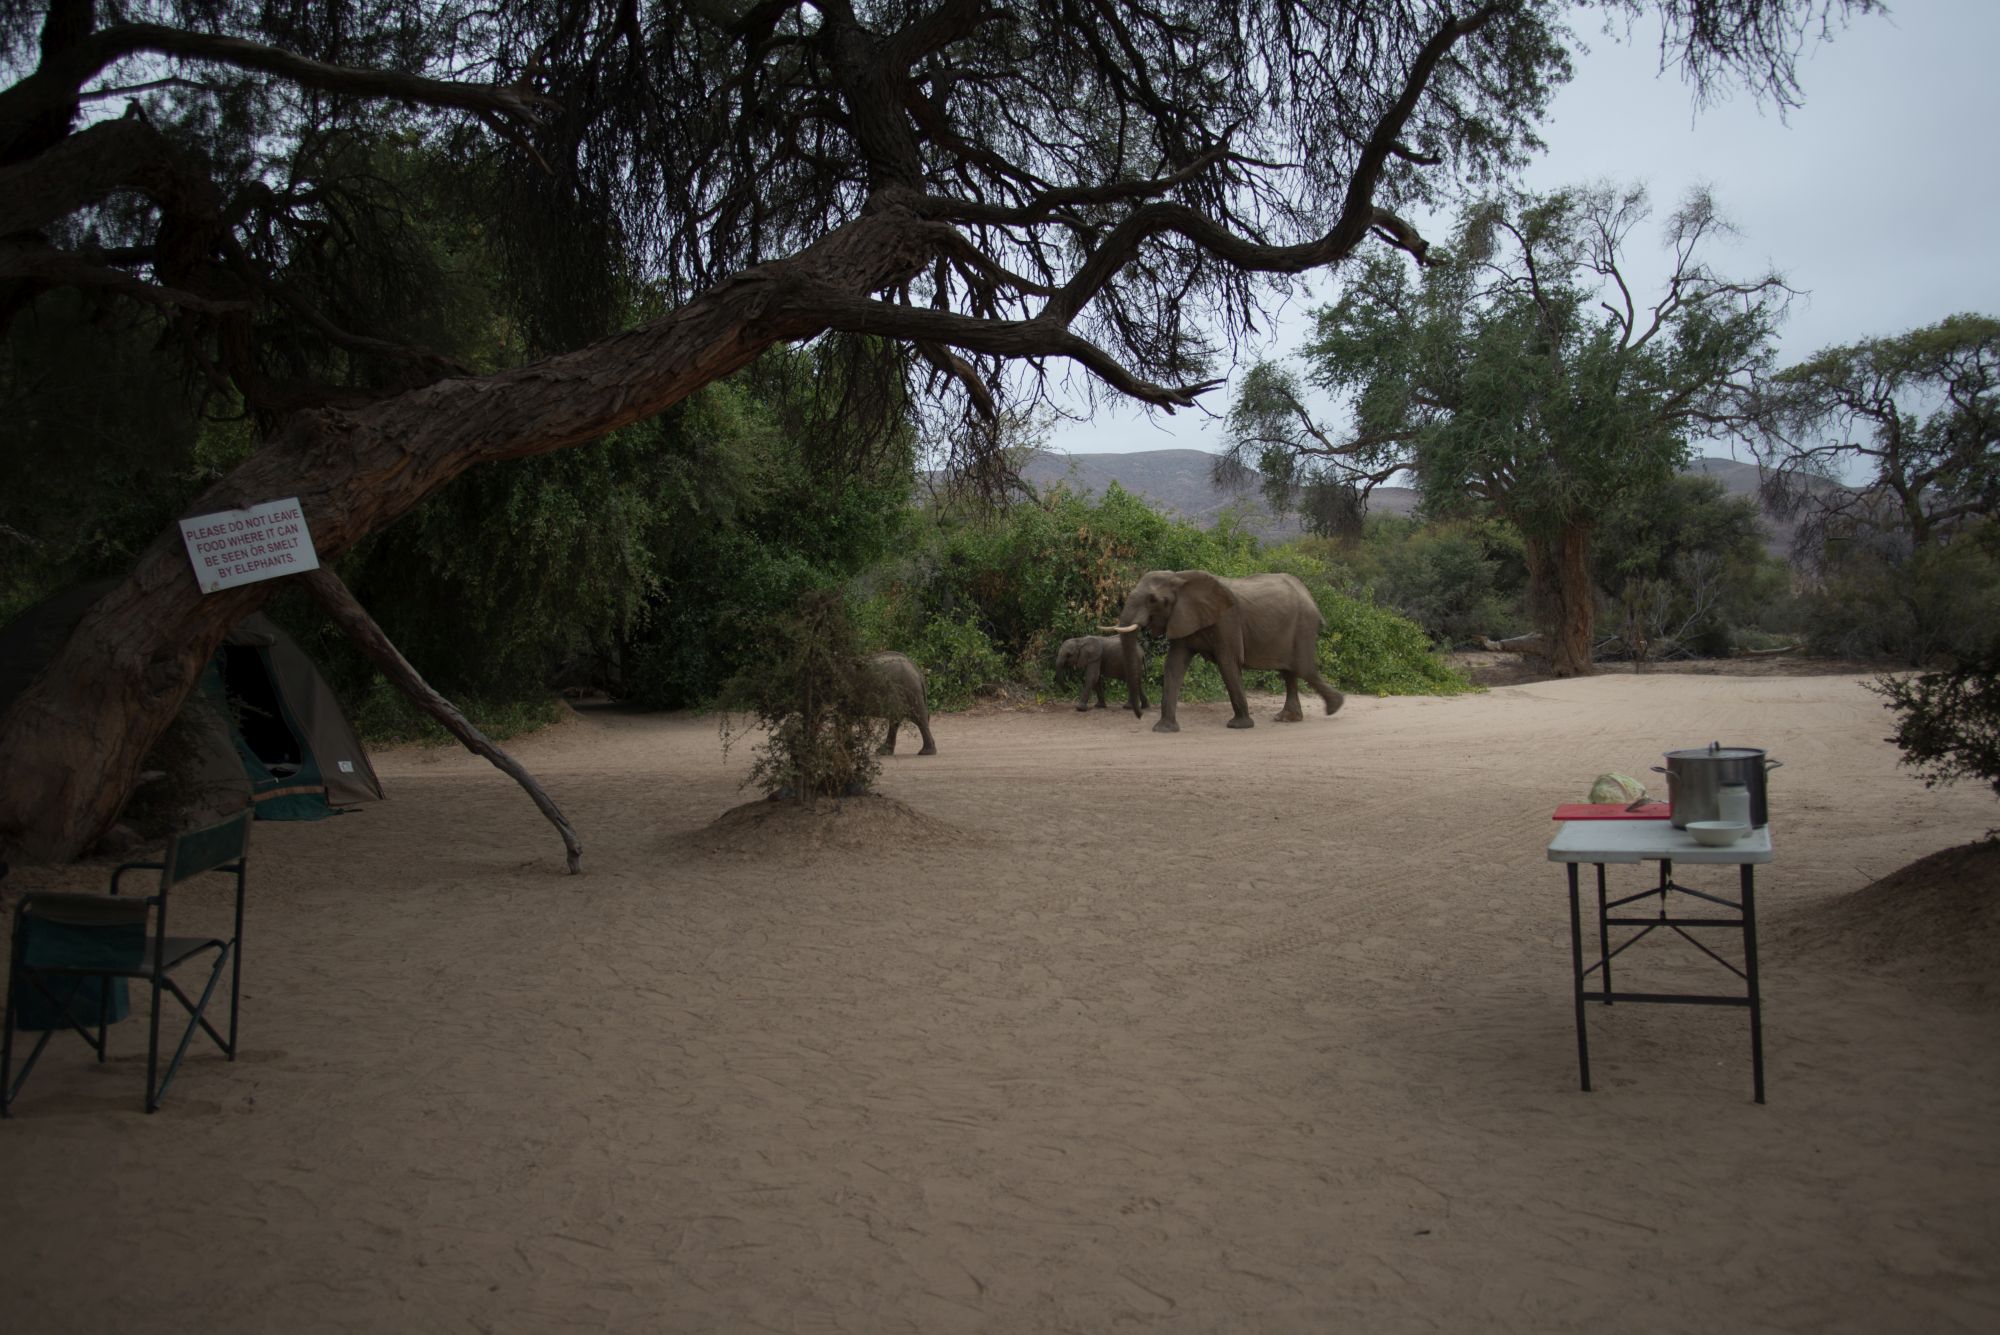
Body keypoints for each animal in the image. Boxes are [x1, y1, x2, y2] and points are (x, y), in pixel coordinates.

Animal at [1105, 569, 1345, 733]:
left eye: (1153, 600)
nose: (1138, 715)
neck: (1181, 578)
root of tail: (1310, 597)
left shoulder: (1226, 622)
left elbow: (1228, 662)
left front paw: (1239, 726)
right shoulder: (1183, 618)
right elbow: (1174, 665)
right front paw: (1164, 729)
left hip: (1303, 625)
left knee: (1303, 668)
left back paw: (1335, 707)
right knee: (1289, 672)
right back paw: (1288, 718)